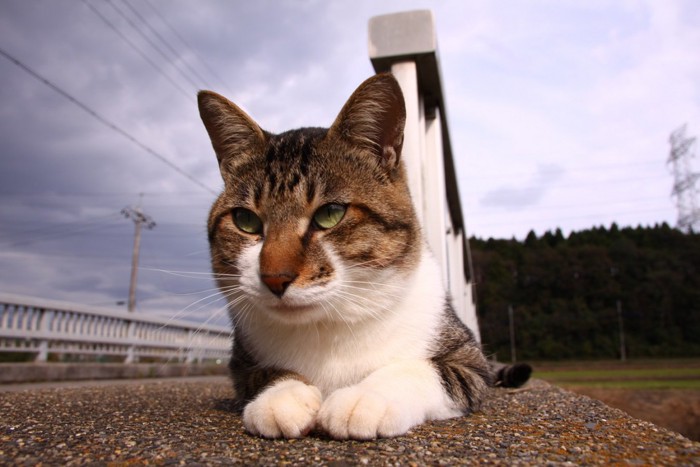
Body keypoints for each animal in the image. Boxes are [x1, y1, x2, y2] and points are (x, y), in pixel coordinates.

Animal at [196, 74, 524, 442]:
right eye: (246, 220)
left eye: (330, 214)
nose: (274, 278)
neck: (328, 326)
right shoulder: (240, 363)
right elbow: (263, 374)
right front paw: (284, 396)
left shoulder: (469, 361)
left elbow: (427, 370)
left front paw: (365, 398)